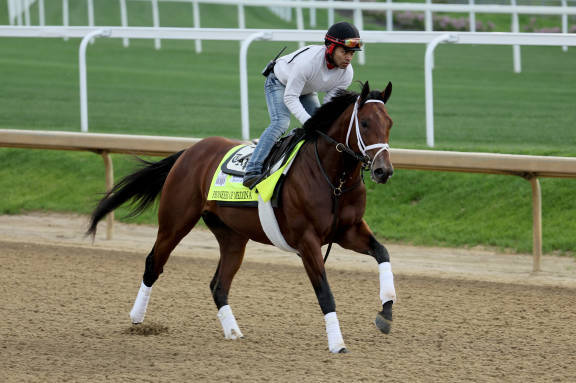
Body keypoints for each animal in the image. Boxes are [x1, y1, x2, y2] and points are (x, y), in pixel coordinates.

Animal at [88, 81, 398, 354]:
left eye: (390, 123)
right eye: (365, 123)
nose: (383, 171)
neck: (334, 181)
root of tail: (190, 150)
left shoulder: (348, 230)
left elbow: (382, 252)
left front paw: (386, 311)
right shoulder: (307, 240)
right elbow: (325, 292)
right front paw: (337, 343)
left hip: (233, 237)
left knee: (218, 285)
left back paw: (233, 331)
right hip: (175, 222)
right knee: (154, 263)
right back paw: (137, 318)